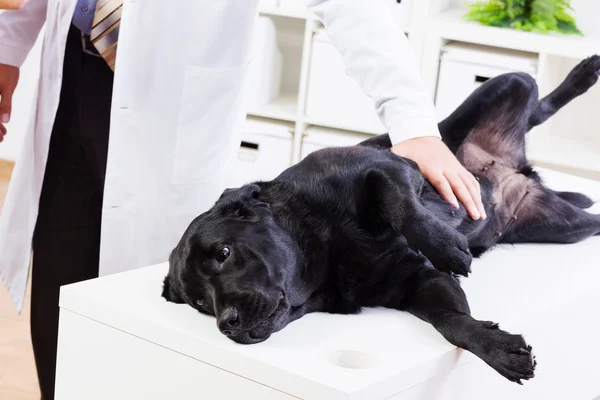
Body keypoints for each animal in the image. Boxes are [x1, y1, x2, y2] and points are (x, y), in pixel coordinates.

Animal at [163, 54, 600, 382]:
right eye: (200, 303)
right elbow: (452, 320)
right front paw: (499, 349)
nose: (227, 323)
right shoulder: (418, 284)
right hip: (567, 227)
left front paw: (448, 247)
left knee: (538, 108)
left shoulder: (392, 168)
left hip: (506, 83)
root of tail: (519, 169)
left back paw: (584, 73)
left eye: (224, 254)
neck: (327, 246)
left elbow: (398, 203)